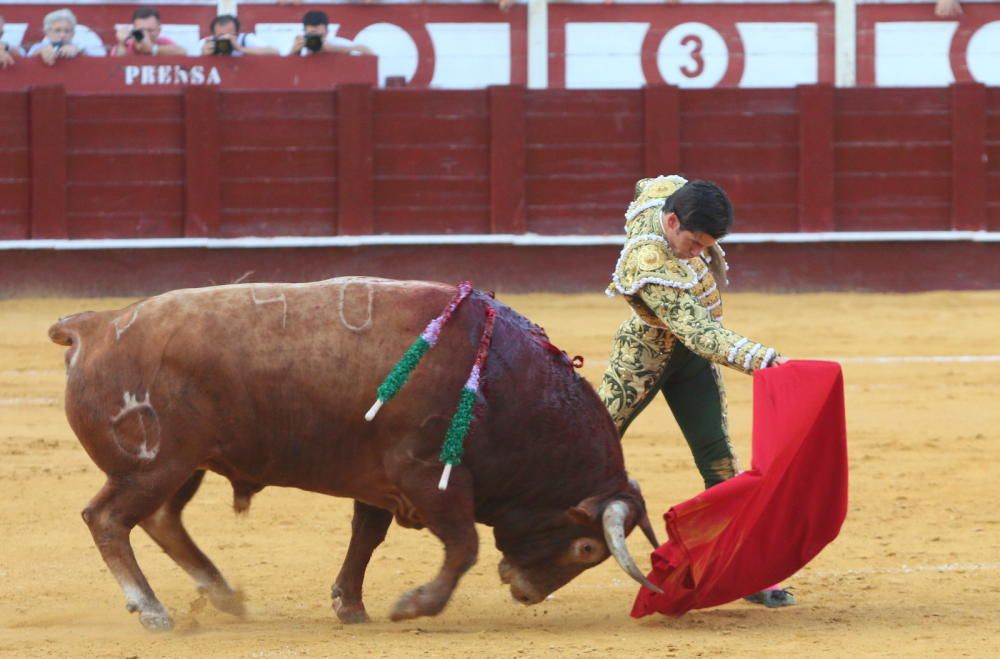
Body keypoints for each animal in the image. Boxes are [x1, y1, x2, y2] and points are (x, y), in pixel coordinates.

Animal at [47, 276, 660, 632]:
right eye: (586, 548)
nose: (526, 593)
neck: (505, 389)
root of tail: (94, 324)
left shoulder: (384, 482)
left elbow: (366, 536)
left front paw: (351, 605)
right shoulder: (427, 476)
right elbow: (462, 546)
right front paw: (412, 605)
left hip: (183, 466)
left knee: (160, 520)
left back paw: (222, 594)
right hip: (153, 464)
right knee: (108, 518)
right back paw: (153, 610)